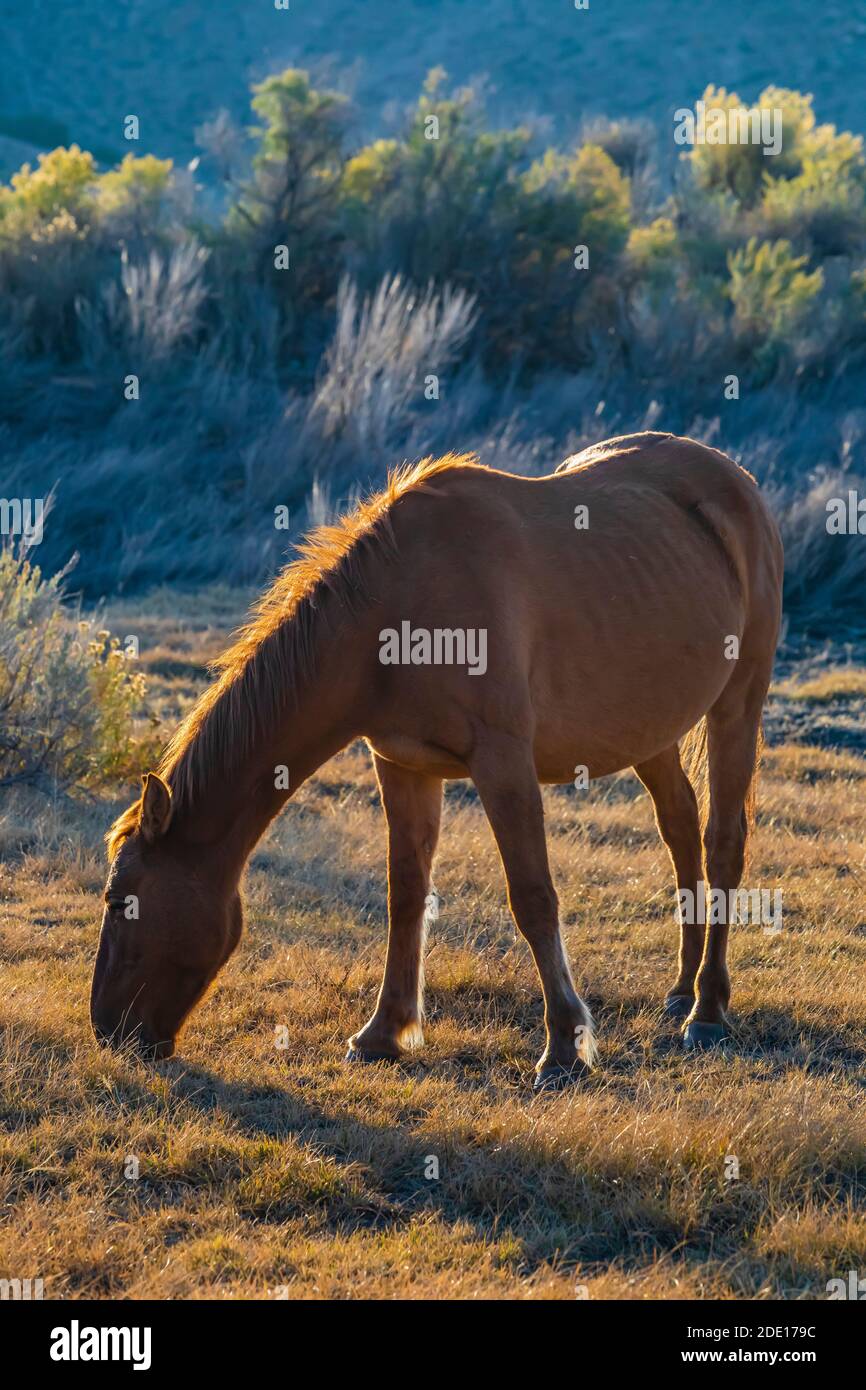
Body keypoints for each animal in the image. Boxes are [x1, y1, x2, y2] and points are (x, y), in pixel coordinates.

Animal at [91, 433, 783, 1084]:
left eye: (121, 899)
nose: (107, 1030)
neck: (396, 611)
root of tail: (737, 480)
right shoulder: (404, 765)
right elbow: (406, 895)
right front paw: (383, 1033)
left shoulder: (503, 763)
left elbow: (533, 898)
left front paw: (564, 1046)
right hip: (648, 731)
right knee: (680, 829)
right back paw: (681, 990)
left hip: (737, 705)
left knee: (723, 843)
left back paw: (708, 1011)